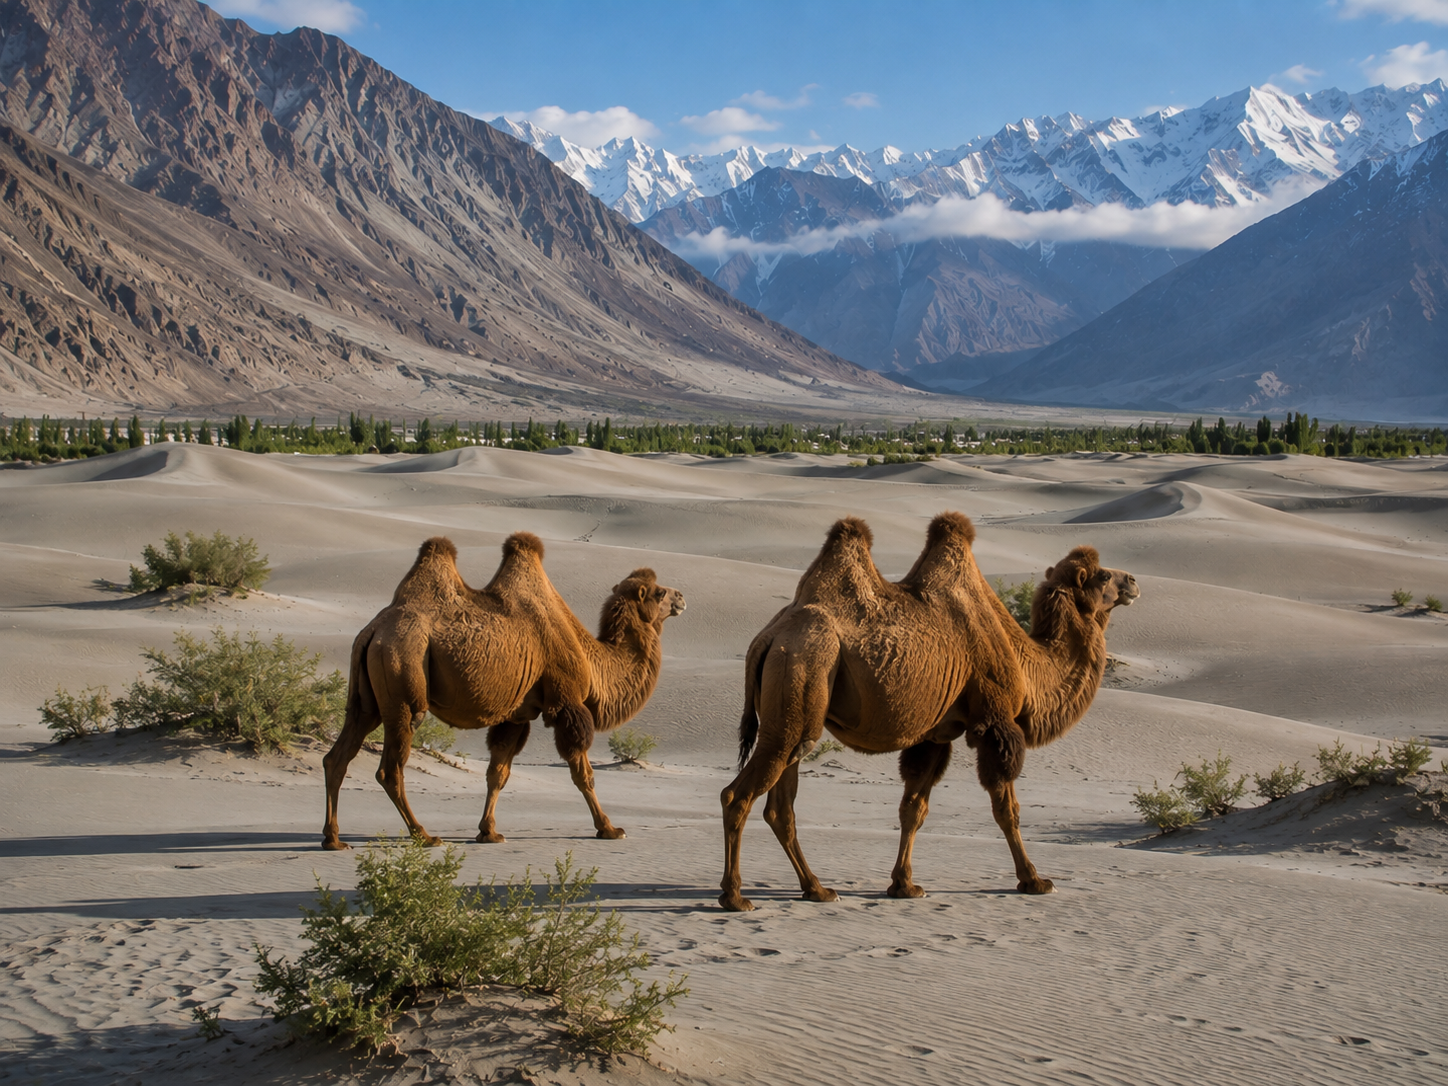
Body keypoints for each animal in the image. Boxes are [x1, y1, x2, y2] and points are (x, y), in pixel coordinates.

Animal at [321, 534, 685, 850]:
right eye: (657, 593)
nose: (681, 597)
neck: (589, 656)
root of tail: (373, 631)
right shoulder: (566, 703)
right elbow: (583, 773)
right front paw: (609, 828)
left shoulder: (516, 716)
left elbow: (498, 773)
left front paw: (489, 832)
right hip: (403, 680)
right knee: (390, 767)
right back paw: (424, 835)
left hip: (366, 699)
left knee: (337, 756)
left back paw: (333, 839)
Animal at [718, 512, 1138, 911]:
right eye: (1103, 576)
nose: (1133, 581)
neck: (1024, 660)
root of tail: (767, 638)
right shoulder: (995, 723)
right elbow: (1007, 809)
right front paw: (1034, 880)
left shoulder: (935, 736)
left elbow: (913, 809)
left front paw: (904, 885)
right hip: (804, 670)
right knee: (737, 795)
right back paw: (735, 897)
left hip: (796, 714)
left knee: (781, 806)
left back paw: (817, 890)